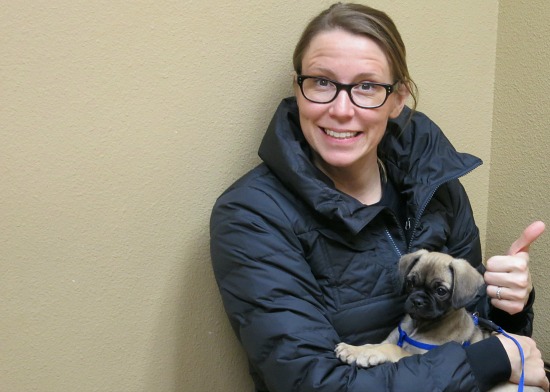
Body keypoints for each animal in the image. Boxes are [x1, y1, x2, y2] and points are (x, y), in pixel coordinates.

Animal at [336, 251, 544, 392]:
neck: (418, 325)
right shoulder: (392, 338)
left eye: (441, 291)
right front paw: (354, 349)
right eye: (411, 282)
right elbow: (374, 344)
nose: (417, 300)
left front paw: (367, 354)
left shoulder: (417, 356)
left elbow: (392, 349)